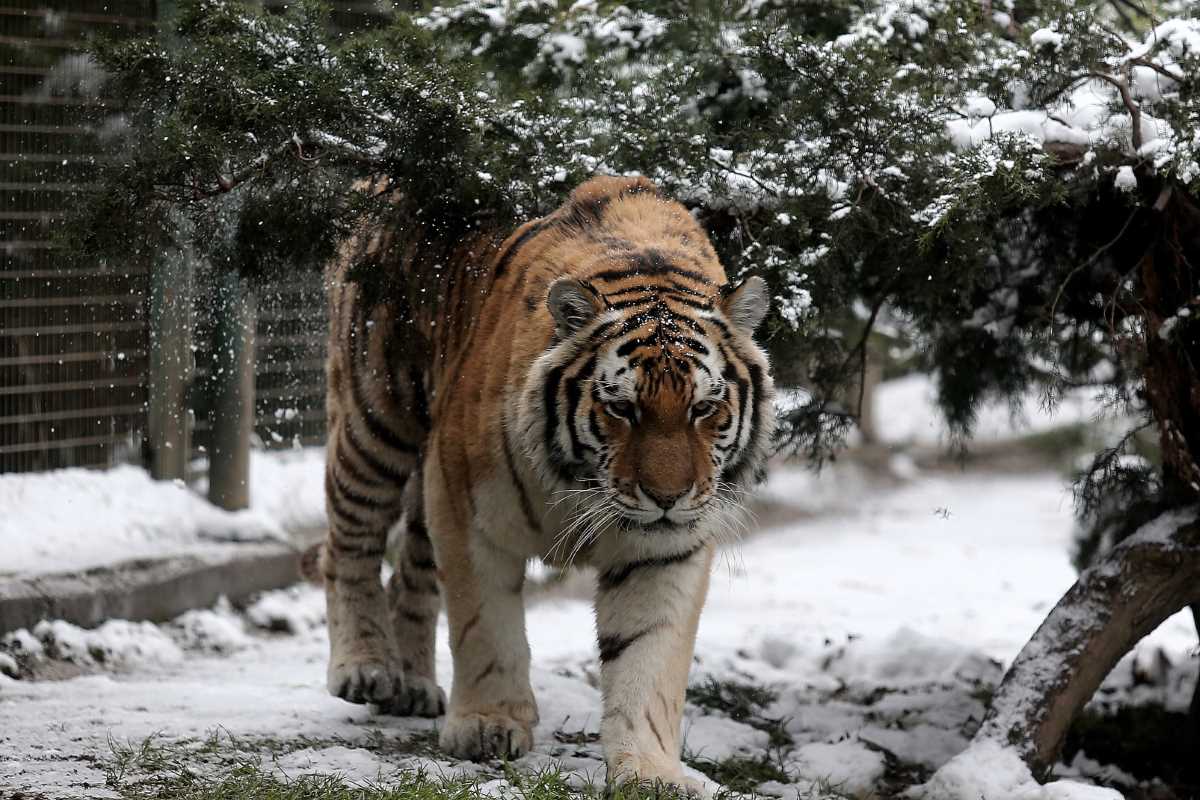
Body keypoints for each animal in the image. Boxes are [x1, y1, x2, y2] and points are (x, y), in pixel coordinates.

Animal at [314, 175, 772, 796]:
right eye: (622, 409)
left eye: (704, 408)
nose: (667, 498)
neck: (581, 486)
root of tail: (379, 180)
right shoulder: (466, 508)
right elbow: (485, 627)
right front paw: (487, 726)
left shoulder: (667, 550)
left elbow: (648, 661)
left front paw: (650, 771)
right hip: (375, 414)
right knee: (347, 542)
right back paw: (365, 668)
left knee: (409, 570)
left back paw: (413, 686)